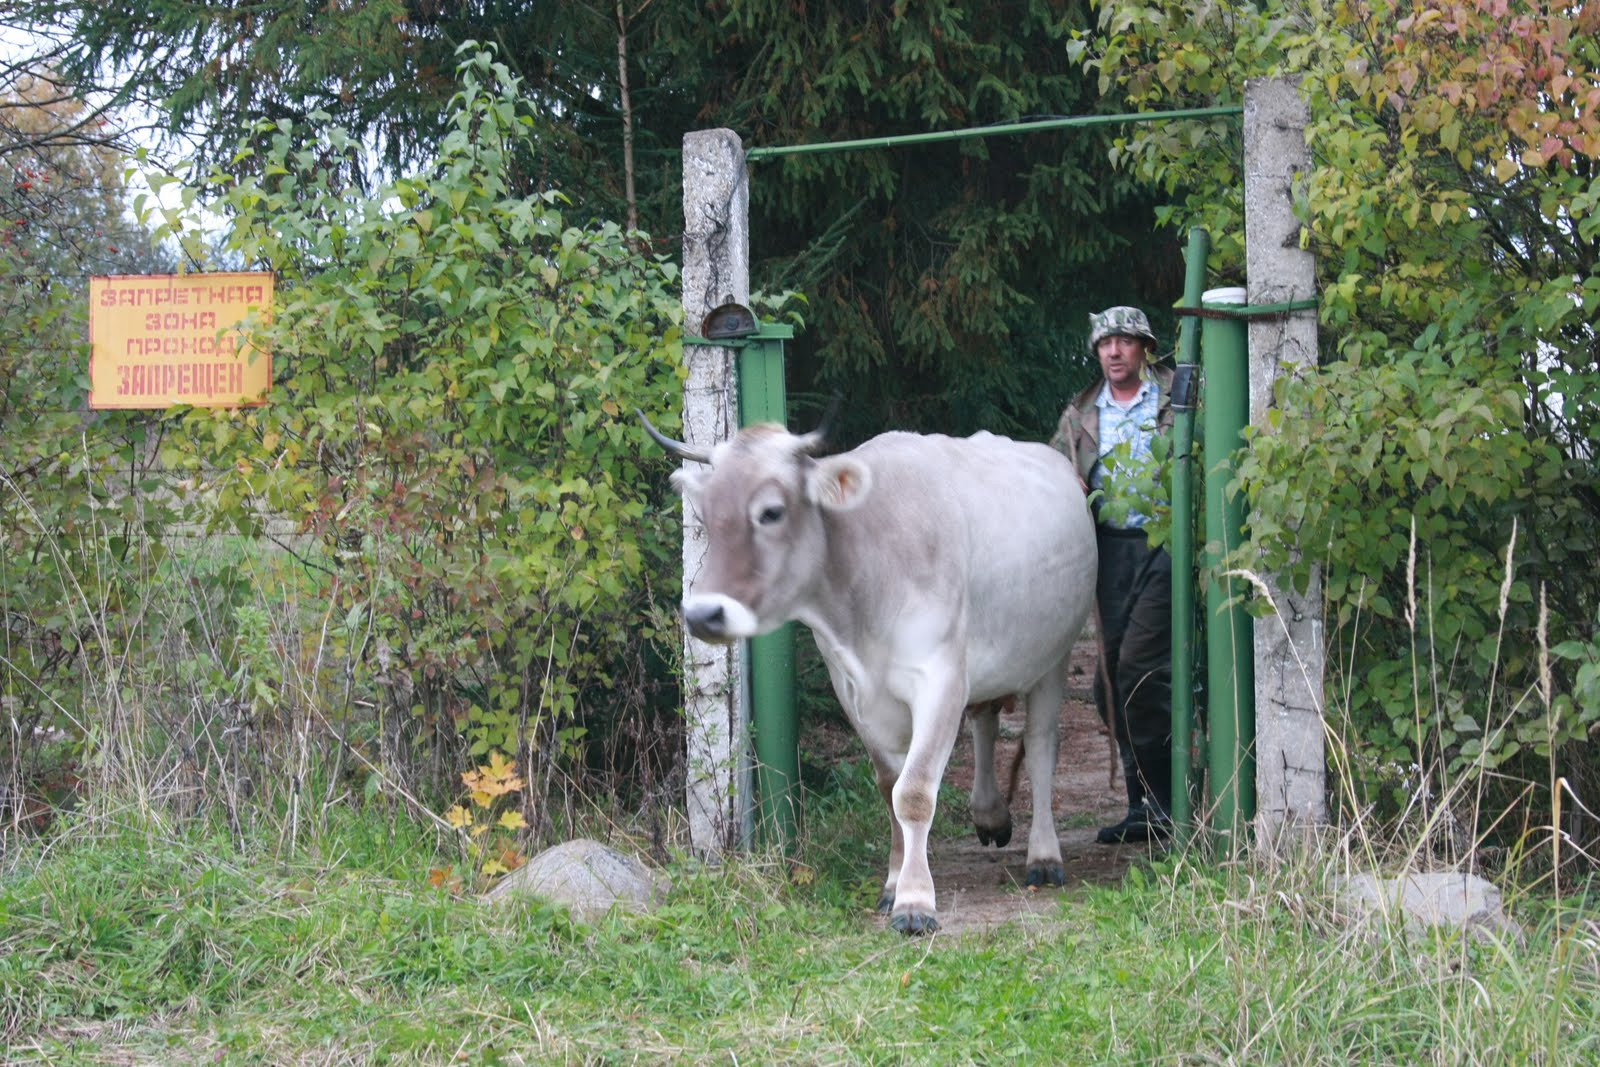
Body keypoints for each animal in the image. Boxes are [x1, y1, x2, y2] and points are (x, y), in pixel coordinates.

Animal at [641, 413, 1097, 934]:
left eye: (771, 512)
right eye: (703, 516)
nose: (704, 615)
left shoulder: (941, 678)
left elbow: (914, 792)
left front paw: (916, 903)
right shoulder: (853, 690)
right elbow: (887, 787)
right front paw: (893, 884)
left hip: (1054, 655)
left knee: (1040, 748)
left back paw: (1044, 855)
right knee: (985, 720)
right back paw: (989, 814)